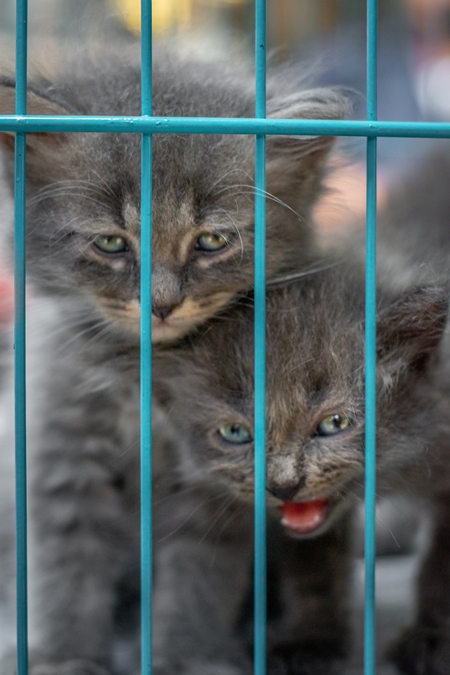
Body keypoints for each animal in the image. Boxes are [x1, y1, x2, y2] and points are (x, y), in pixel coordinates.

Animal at [153, 260, 450, 675]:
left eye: (335, 423)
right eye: (234, 433)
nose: (283, 485)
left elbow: (442, 561)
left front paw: (434, 639)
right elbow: (312, 567)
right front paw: (311, 641)